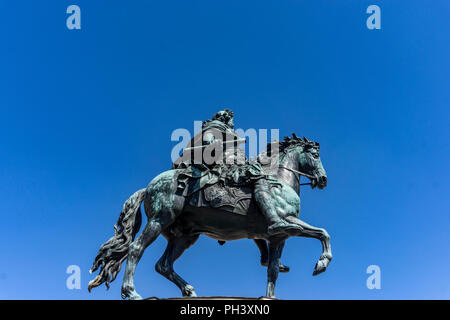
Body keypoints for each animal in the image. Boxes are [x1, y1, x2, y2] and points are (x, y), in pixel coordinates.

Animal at [89, 134, 330, 298]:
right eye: (315, 155)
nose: (323, 179)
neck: (278, 179)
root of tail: (149, 187)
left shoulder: (279, 238)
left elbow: (273, 270)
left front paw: (269, 296)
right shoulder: (287, 222)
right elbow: (323, 233)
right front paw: (322, 263)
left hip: (184, 236)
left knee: (163, 265)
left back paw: (188, 290)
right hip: (159, 220)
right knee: (136, 249)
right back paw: (131, 292)